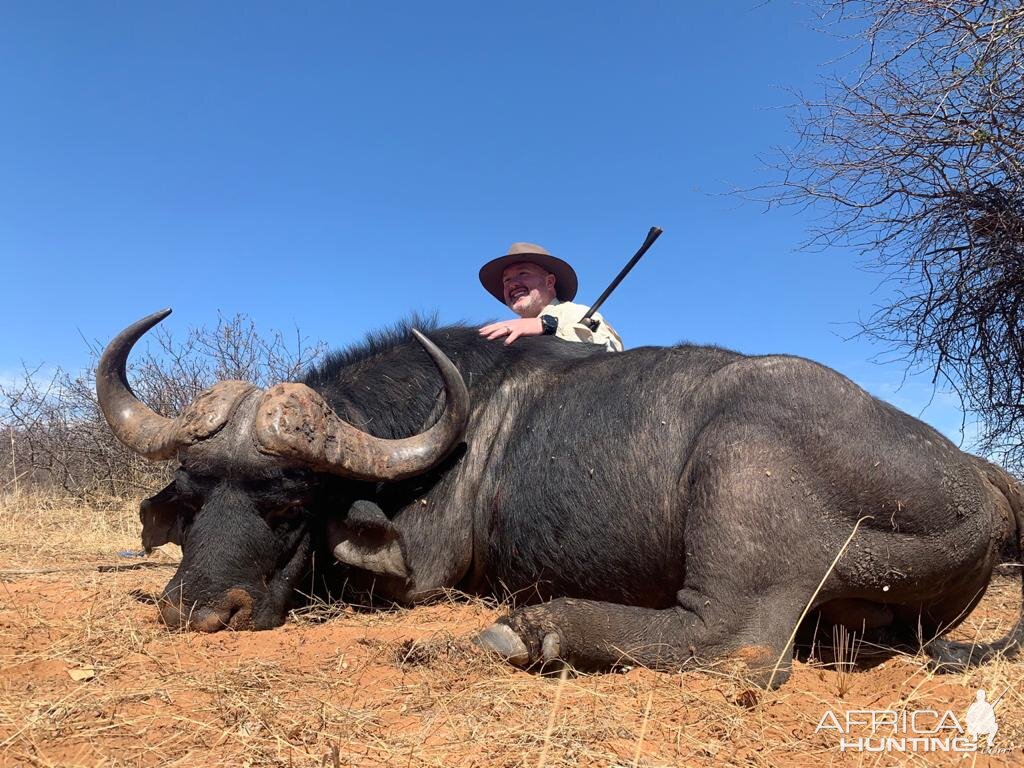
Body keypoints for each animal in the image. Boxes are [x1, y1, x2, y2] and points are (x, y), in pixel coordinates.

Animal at [97, 309, 1024, 688]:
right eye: (195, 498)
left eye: (288, 503)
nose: (195, 611)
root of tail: (971, 477)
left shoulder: (422, 577)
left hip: (739, 466)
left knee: (737, 644)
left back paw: (534, 630)